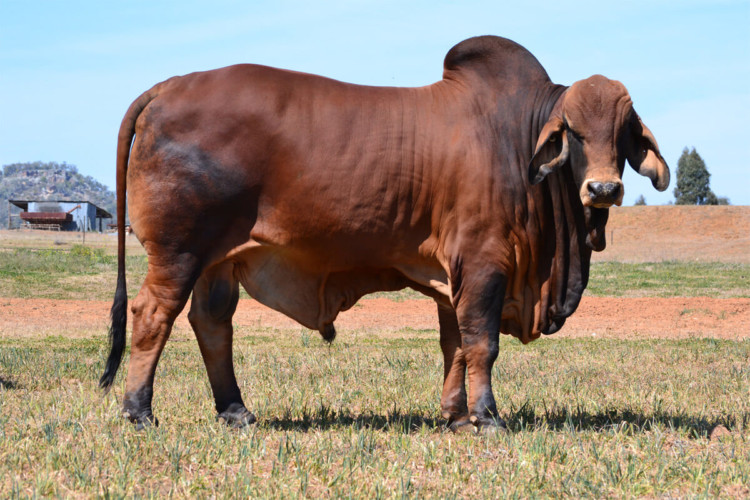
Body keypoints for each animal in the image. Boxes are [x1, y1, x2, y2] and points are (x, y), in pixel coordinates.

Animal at [98, 37, 668, 432]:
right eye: (573, 131)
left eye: (623, 133)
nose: (603, 188)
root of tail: (168, 85)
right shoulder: (484, 262)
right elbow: (481, 343)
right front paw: (487, 417)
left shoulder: (452, 277)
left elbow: (454, 346)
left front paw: (455, 417)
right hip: (179, 252)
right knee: (153, 316)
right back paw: (139, 412)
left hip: (218, 260)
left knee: (212, 324)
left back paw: (236, 411)